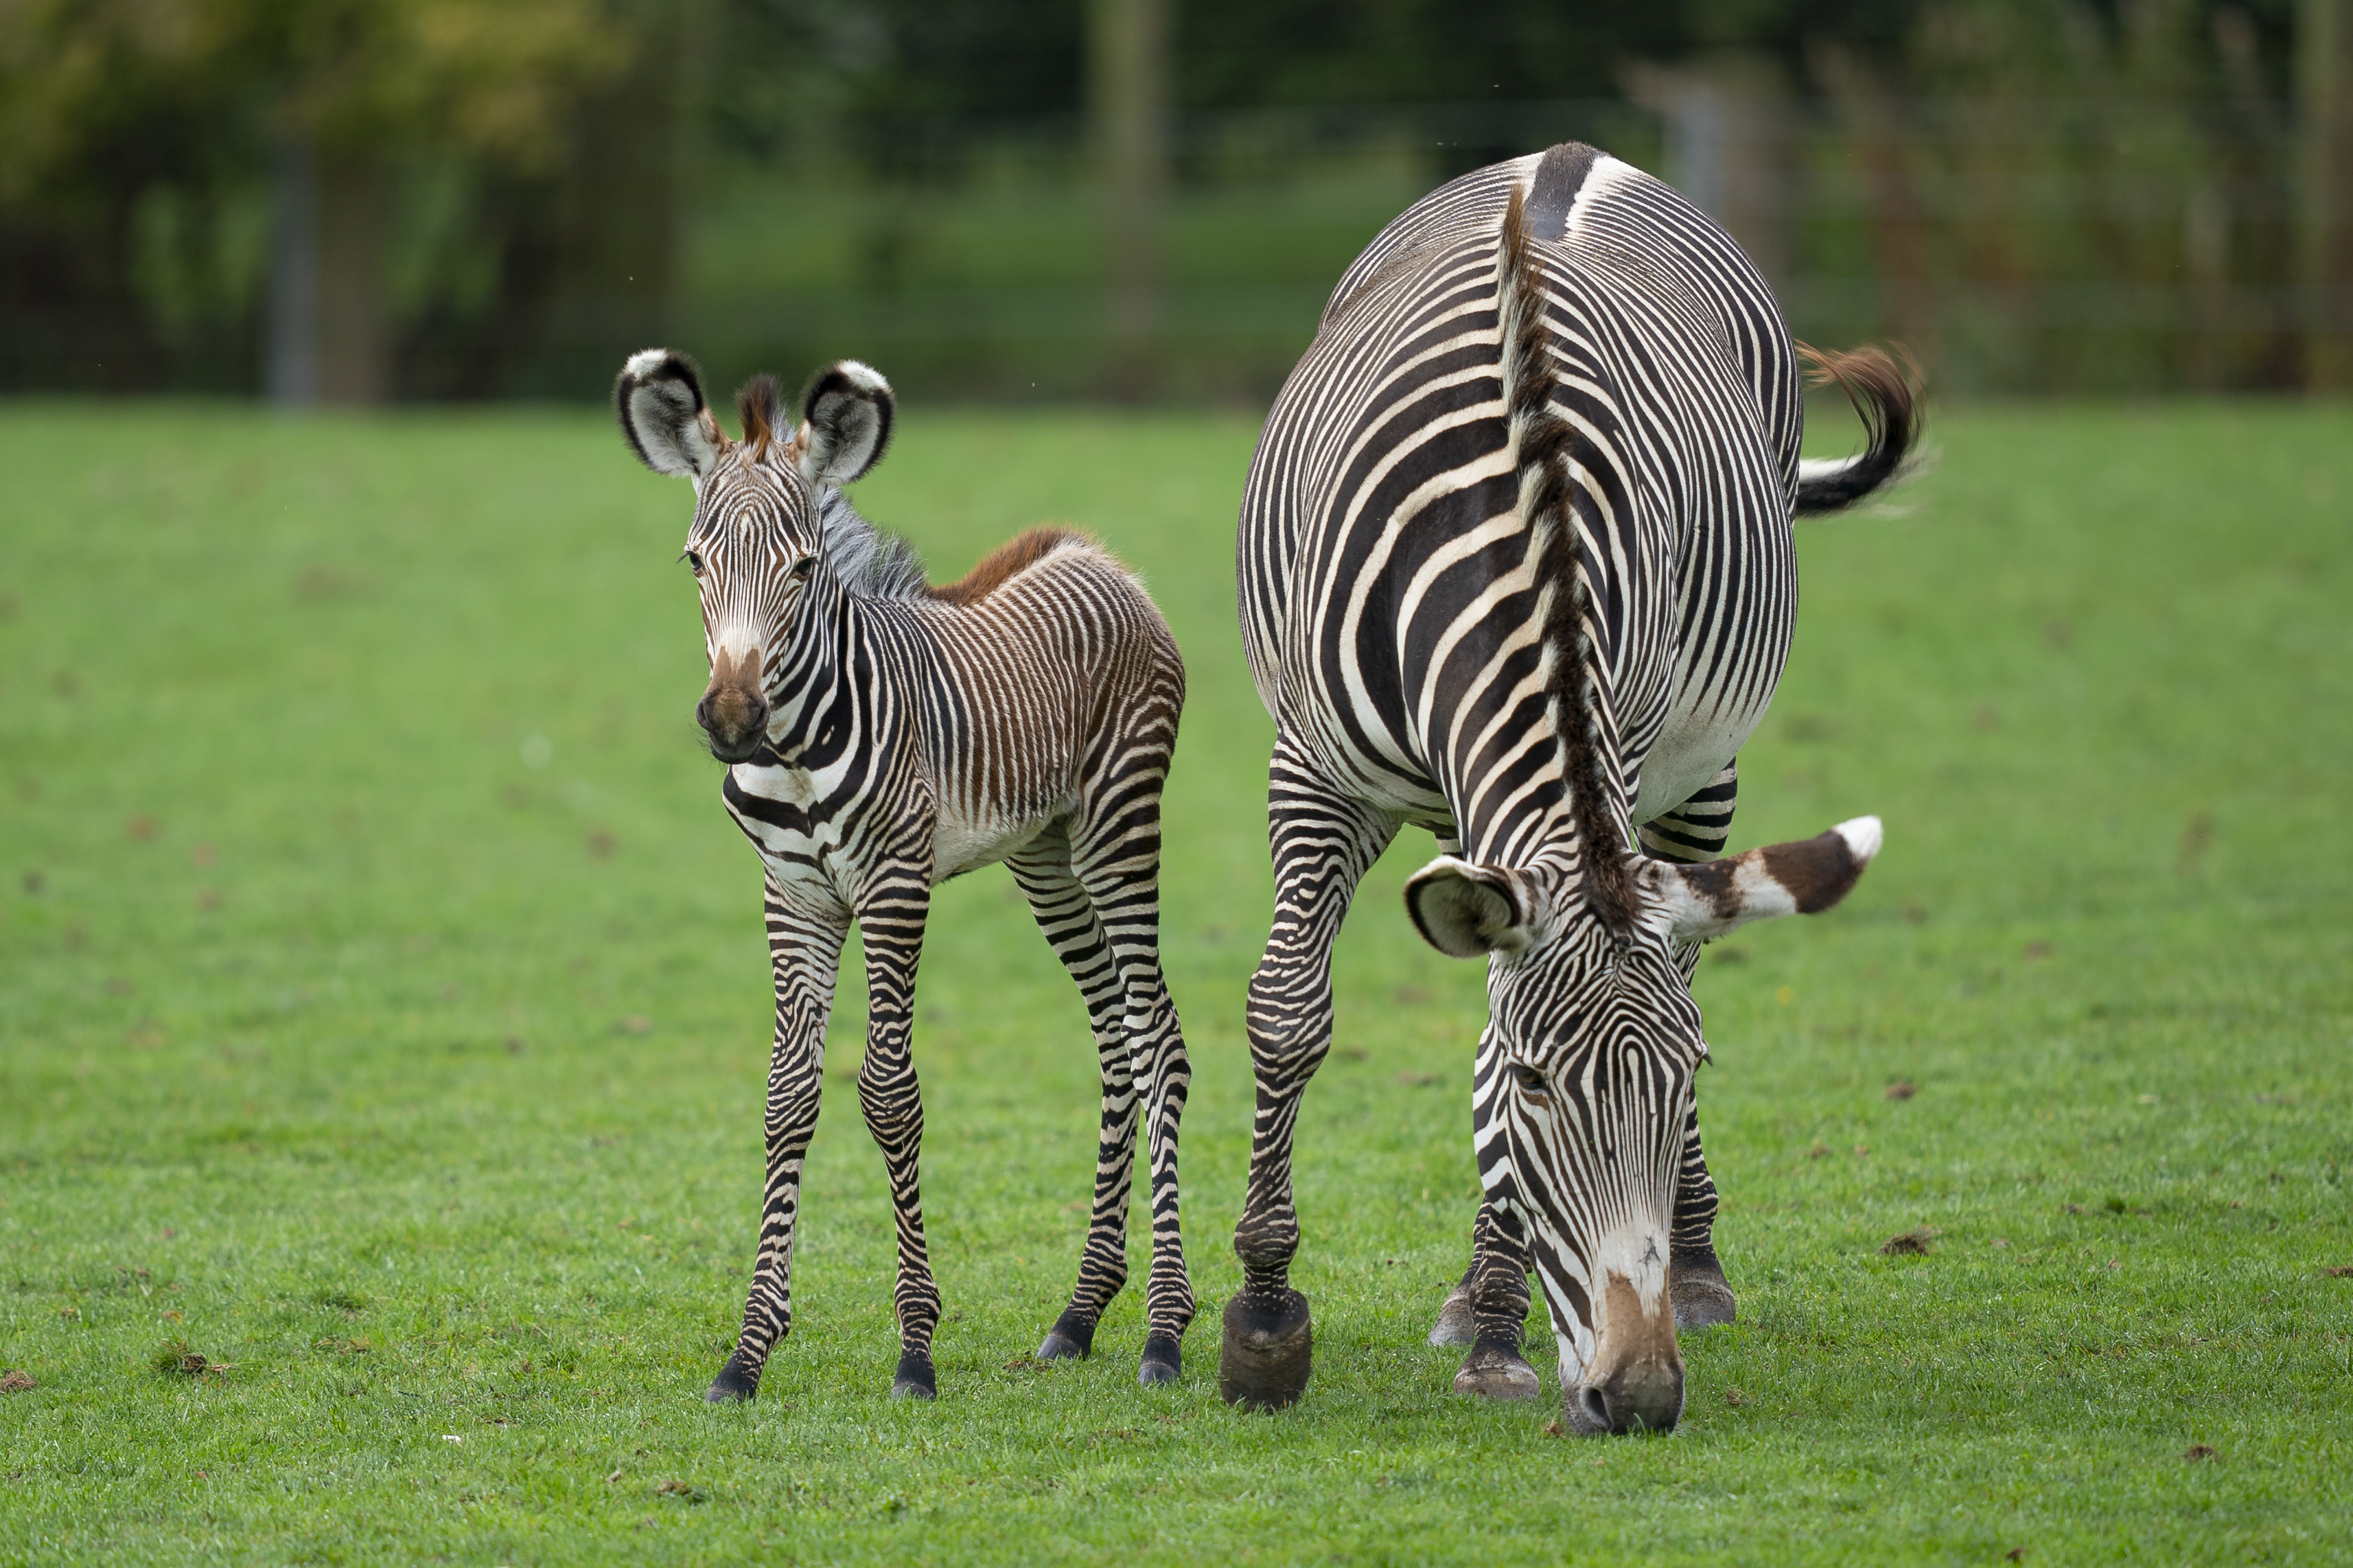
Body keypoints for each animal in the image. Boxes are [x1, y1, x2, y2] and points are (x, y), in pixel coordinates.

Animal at [613, 351, 1196, 1401]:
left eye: (803, 568)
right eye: (695, 562)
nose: (730, 719)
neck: (795, 745)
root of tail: (1101, 559)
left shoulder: (894, 885)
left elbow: (889, 1095)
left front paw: (916, 1347)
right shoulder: (794, 898)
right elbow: (787, 1098)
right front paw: (749, 1350)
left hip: (1120, 825)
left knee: (1155, 1038)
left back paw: (1165, 1328)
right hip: (1045, 856)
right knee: (1112, 1039)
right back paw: (1081, 1311)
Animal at [1218, 142, 1916, 1432]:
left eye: (1687, 1079)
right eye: (1541, 1085)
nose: (1636, 1397)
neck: (1508, 526)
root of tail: (1570, 157)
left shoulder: (1623, 754)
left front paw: (1498, 1330)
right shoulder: (1316, 775)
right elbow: (1290, 1013)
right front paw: (1264, 1319)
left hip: (1703, 770)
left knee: (1689, 950)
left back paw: (1690, 1269)